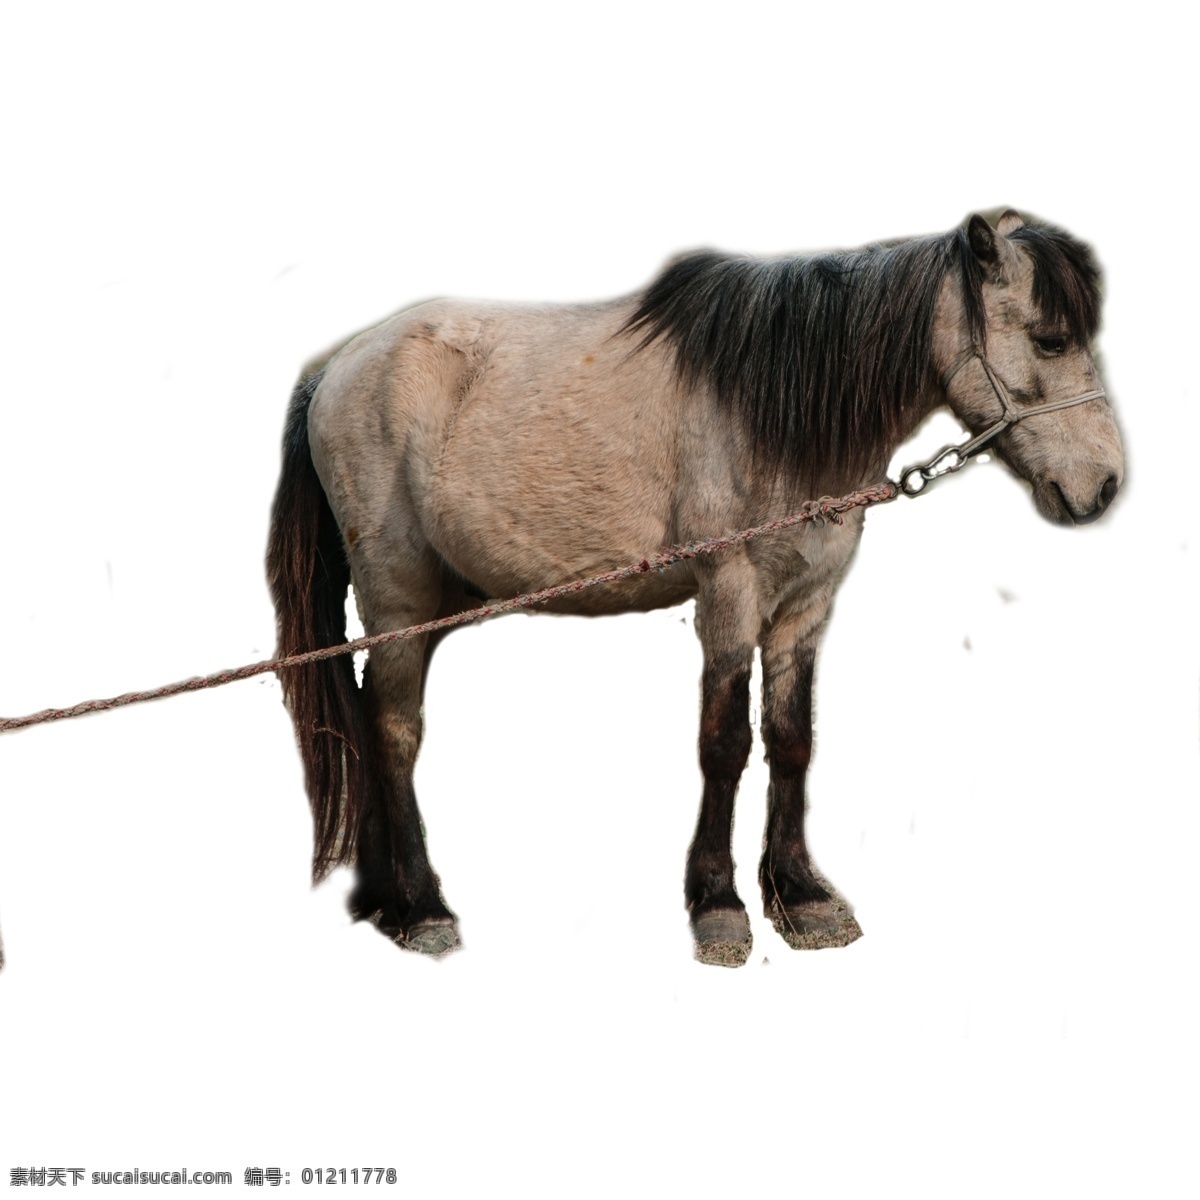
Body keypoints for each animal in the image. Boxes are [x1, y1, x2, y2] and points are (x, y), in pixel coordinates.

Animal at [266, 209, 1124, 966]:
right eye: (1050, 338)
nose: (1106, 486)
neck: (775, 405)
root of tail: (333, 372)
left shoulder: (805, 604)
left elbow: (791, 739)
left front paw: (801, 897)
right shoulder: (730, 591)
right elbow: (725, 742)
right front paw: (719, 906)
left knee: (369, 717)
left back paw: (383, 900)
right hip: (397, 597)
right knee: (393, 733)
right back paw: (423, 910)